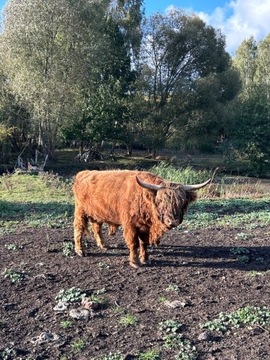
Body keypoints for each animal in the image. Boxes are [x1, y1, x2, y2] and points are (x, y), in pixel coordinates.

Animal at [73, 171, 210, 268]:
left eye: (182, 202)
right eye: (161, 201)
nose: (173, 221)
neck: (143, 198)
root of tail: (83, 173)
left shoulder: (145, 226)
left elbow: (144, 242)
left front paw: (145, 259)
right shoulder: (130, 225)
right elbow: (134, 243)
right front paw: (135, 262)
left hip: (98, 213)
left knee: (97, 227)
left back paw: (103, 245)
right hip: (80, 211)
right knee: (78, 229)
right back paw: (80, 251)